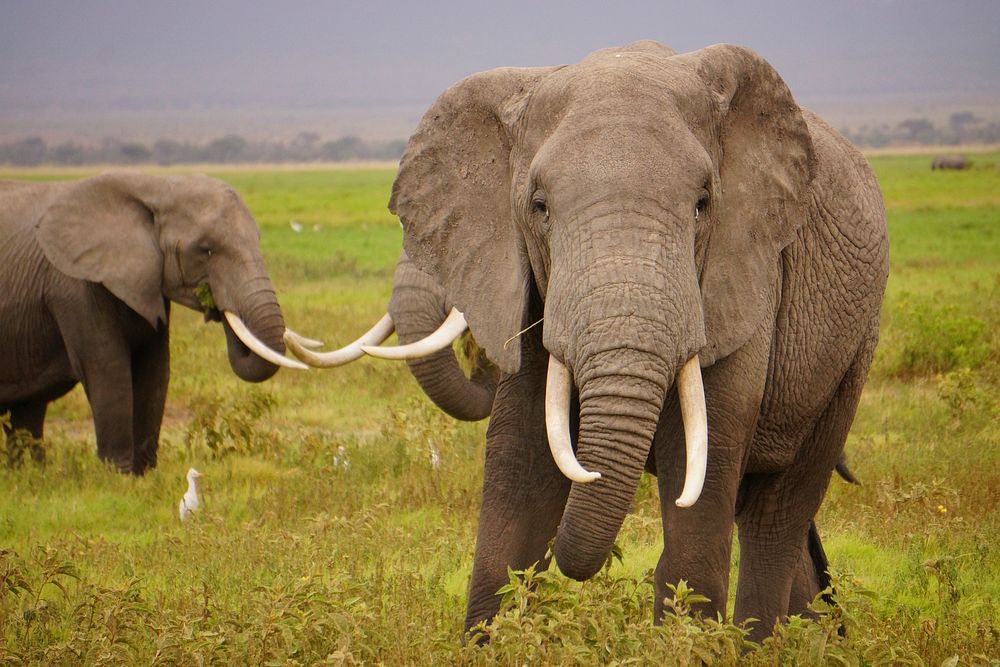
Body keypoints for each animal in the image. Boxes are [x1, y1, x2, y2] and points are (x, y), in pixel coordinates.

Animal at [0, 172, 304, 474]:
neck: (157, 186)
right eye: (205, 251)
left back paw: (30, 474)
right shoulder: (75, 287)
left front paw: (144, 475)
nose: (217, 307)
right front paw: (118, 477)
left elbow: (155, 370)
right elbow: (109, 369)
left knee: (28, 411)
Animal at [368, 43, 892, 640]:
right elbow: (522, 464)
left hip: (856, 345)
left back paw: (771, 642)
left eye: (703, 204)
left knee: (779, 512)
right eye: (539, 207)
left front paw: (686, 638)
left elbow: (701, 464)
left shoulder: (745, 271)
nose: (480, 361)